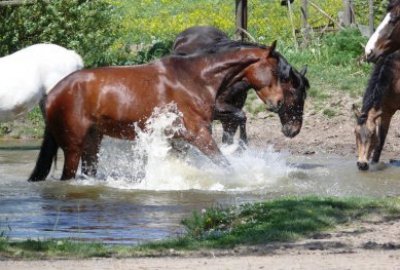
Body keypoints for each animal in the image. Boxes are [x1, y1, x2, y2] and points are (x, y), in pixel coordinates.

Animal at [28, 41, 290, 181]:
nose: (277, 103)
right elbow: (223, 164)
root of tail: (52, 94)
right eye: (275, 72)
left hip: (93, 141)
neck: (194, 78)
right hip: (73, 148)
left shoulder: (178, 140)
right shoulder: (199, 135)